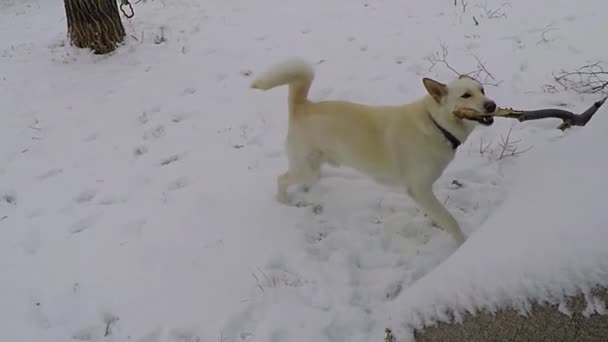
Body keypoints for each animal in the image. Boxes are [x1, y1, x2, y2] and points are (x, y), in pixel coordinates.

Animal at [249, 59, 496, 246]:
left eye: (482, 90)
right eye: (466, 95)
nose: (492, 105)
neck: (436, 123)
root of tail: (302, 105)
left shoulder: (423, 192)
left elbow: (436, 214)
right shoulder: (420, 189)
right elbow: (449, 219)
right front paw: (463, 243)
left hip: (313, 163)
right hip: (304, 167)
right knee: (281, 179)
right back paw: (283, 201)